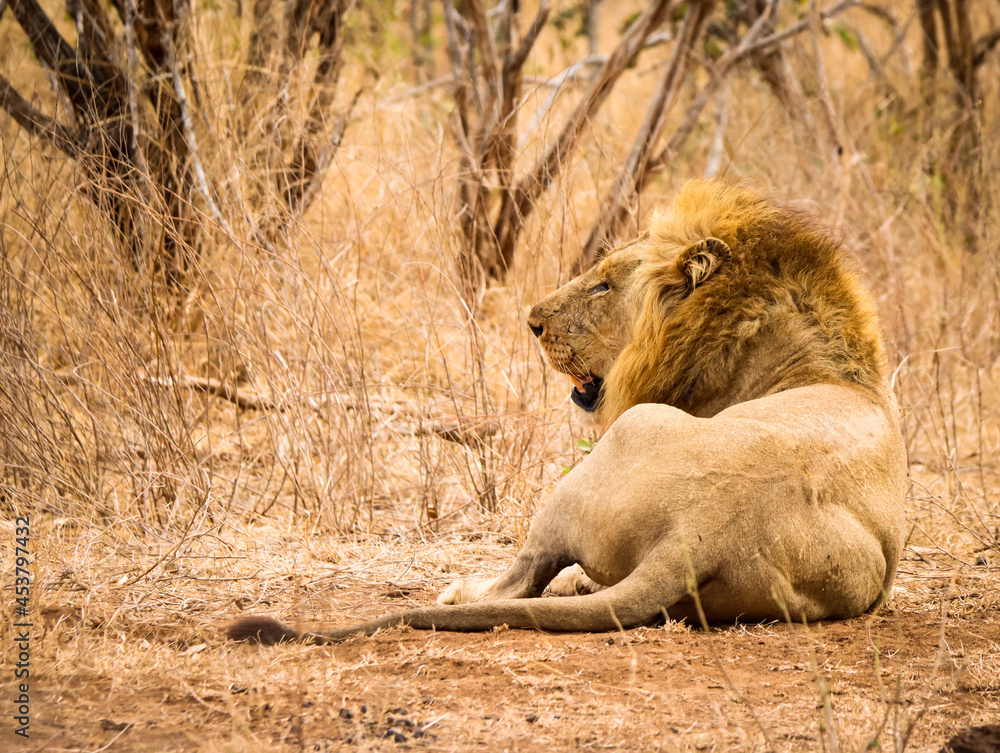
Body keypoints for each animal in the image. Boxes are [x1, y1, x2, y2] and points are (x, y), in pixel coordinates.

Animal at [226, 180, 907, 645]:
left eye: (604, 283)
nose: (531, 321)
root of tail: (699, 533)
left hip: (617, 442)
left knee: (519, 578)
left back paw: (463, 591)